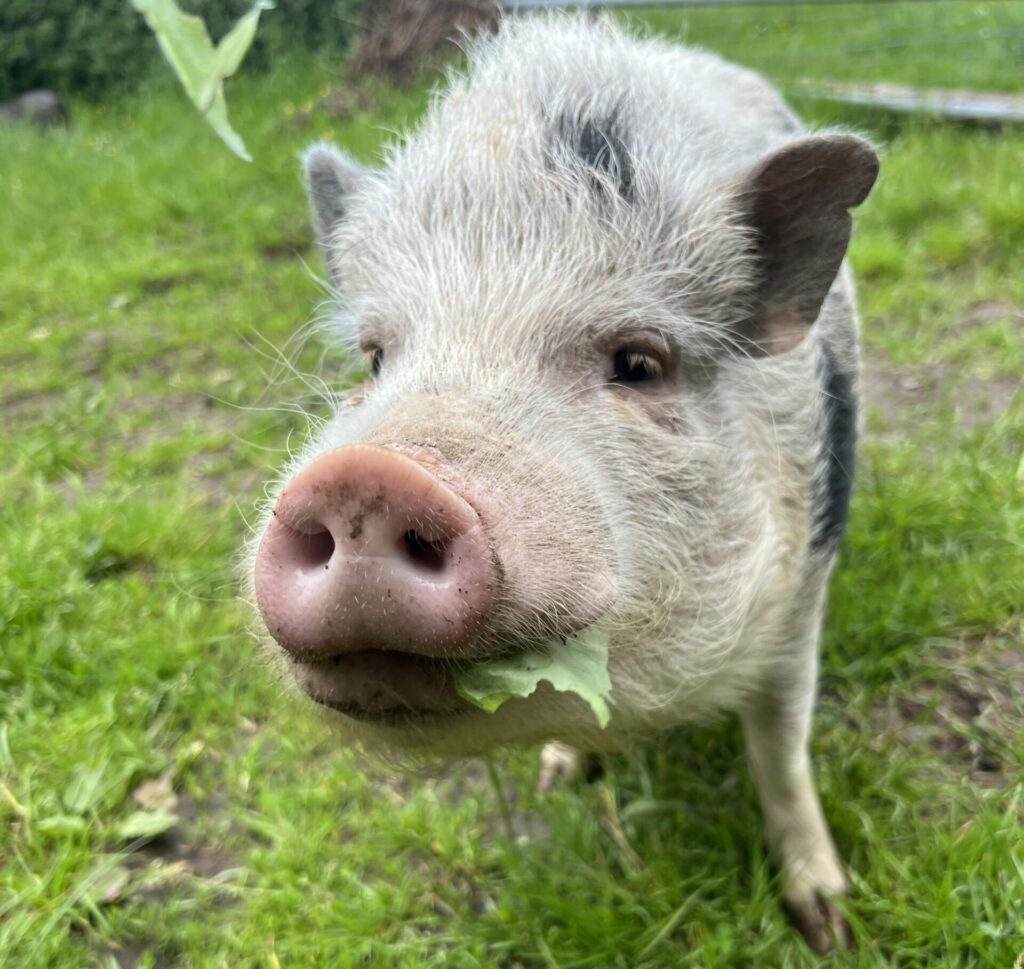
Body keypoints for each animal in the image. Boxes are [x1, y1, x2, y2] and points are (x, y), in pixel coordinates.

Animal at [247, 13, 880, 950]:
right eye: (374, 358)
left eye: (639, 363)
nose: (365, 475)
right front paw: (557, 776)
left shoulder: (805, 586)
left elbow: (779, 745)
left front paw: (828, 923)